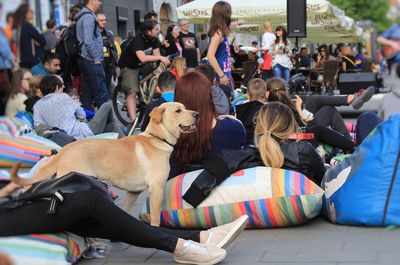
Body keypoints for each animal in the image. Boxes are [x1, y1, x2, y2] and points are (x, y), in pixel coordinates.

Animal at [7, 102, 198, 226]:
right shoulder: (156, 188)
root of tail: (63, 152)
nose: (197, 114)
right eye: (178, 110)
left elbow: (126, 211)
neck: (157, 137)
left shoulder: (133, 192)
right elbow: (156, 218)